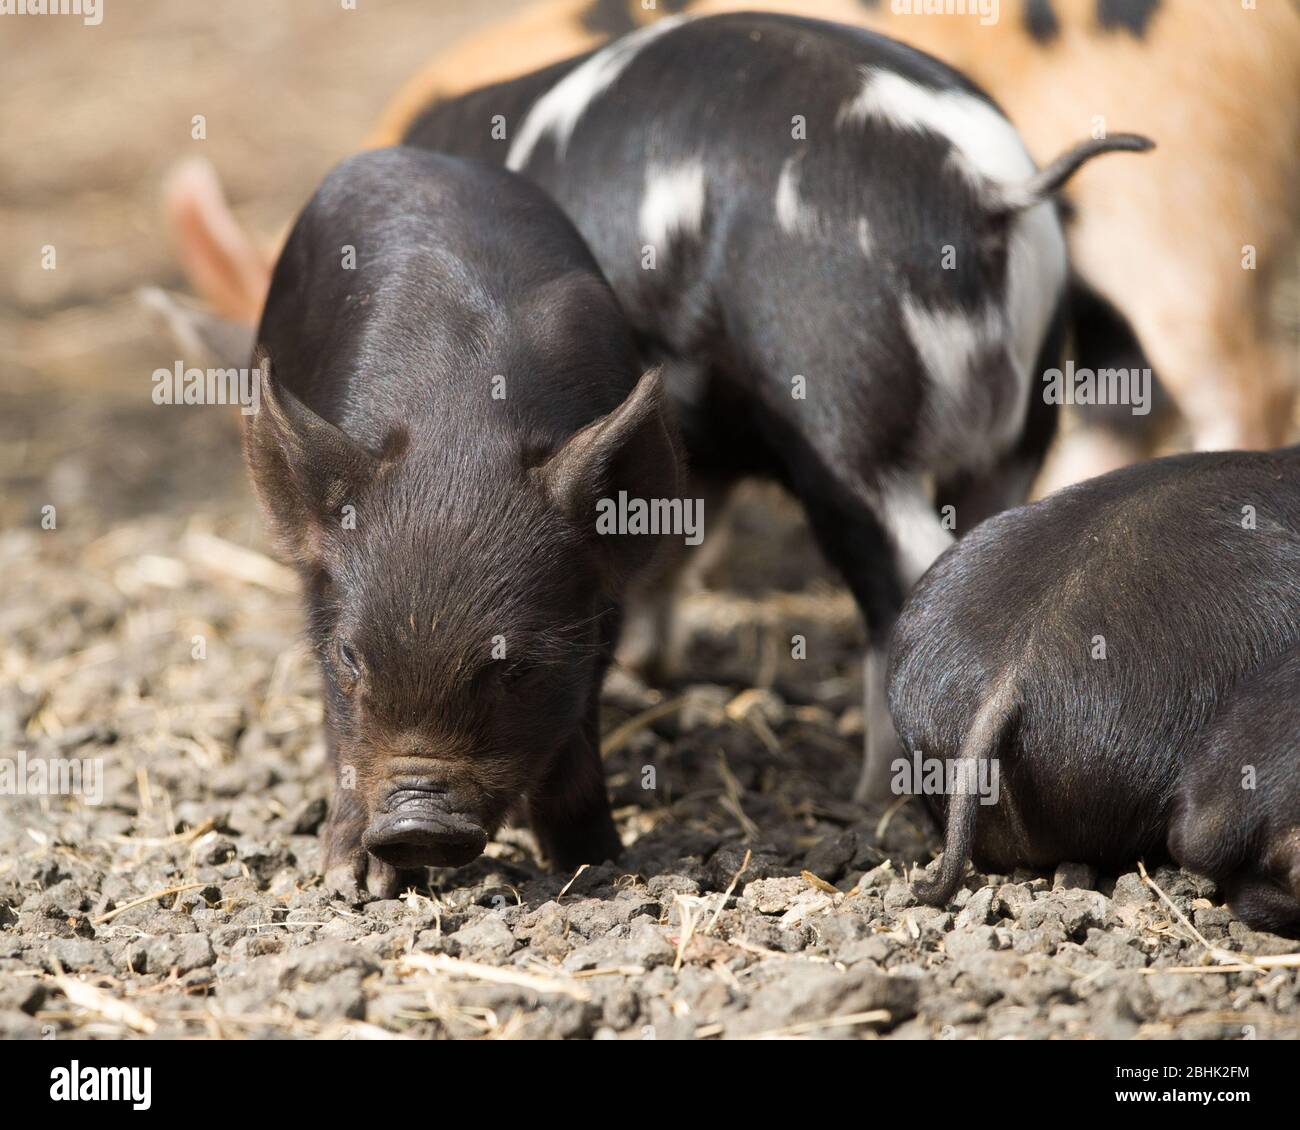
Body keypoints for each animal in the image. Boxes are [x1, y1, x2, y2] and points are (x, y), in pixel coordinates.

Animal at [246, 147, 686, 899]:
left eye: (517, 667)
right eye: (350, 657)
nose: (417, 823)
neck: (461, 436)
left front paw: (597, 861)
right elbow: (342, 733)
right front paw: (354, 883)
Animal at [395, 11, 1149, 801]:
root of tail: (987, 189)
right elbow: (673, 540)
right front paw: (650, 664)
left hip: (840, 412)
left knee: (906, 569)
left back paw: (869, 795)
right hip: (1021, 425)